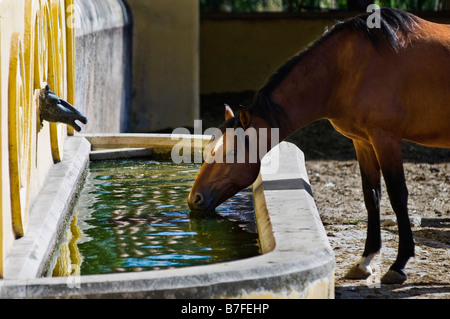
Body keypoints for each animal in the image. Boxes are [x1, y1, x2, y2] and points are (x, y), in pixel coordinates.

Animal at [187, 8, 450, 284]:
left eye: (231, 152)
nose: (195, 198)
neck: (347, 71)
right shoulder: (363, 142)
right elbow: (371, 196)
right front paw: (365, 260)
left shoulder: (386, 139)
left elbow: (398, 196)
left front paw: (398, 265)